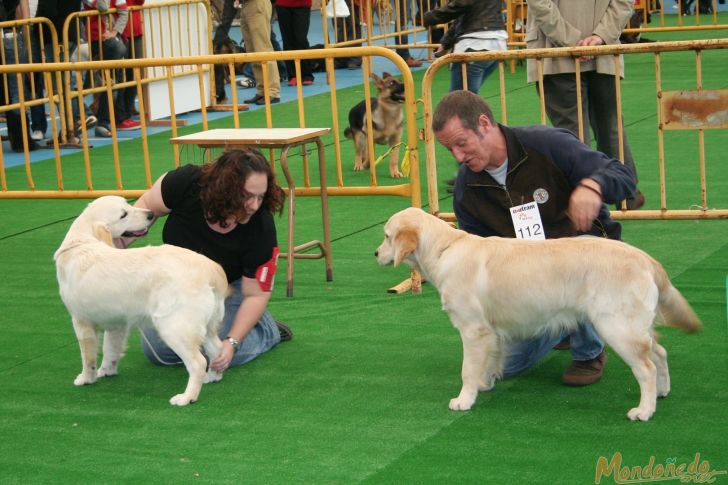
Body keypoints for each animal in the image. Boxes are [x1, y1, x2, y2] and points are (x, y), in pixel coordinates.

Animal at [55, 196, 229, 404]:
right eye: (124, 213)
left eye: (127, 206)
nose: (151, 214)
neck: (81, 241)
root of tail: (210, 267)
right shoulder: (117, 324)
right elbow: (110, 349)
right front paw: (106, 370)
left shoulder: (81, 321)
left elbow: (88, 357)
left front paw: (86, 378)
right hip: (208, 325)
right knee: (217, 349)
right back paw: (213, 377)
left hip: (173, 327)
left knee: (198, 362)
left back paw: (187, 397)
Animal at [376, 208, 700, 420]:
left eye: (387, 236)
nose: (375, 254)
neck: (445, 250)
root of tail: (647, 259)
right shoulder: (492, 331)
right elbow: (490, 362)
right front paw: (485, 384)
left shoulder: (473, 329)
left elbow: (467, 369)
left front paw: (463, 400)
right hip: (636, 326)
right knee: (659, 353)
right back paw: (662, 392)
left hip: (617, 327)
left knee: (646, 367)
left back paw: (644, 410)